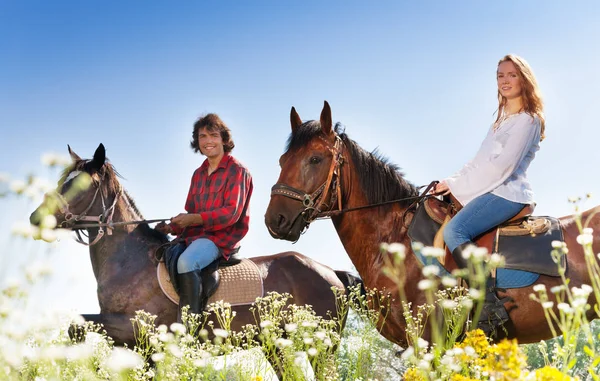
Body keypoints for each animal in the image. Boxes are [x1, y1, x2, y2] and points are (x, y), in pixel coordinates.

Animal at [30, 142, 360, 348]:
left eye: (80, 185)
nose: (36, 218)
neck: (130, 263)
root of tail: (332, 272)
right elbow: (79, 325)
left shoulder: (135, 328)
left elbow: (77, 324)